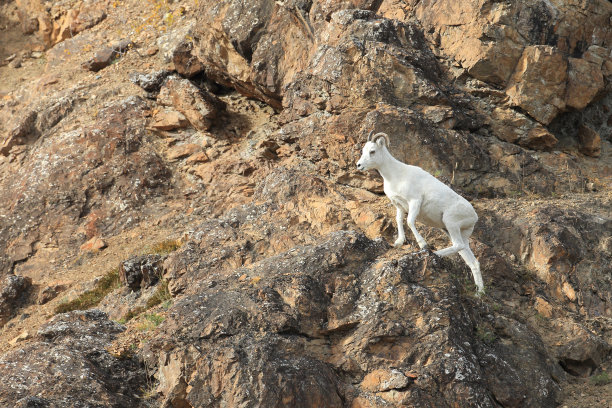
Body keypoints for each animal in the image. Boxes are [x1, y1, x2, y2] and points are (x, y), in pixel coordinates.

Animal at [356, 132, 486, 294]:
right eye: (363, 150)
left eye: (372, 151)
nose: (359, 165)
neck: (396, 175)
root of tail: (474, 216)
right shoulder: (399, 205)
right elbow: (399, 220)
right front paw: (399, 242)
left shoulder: (415, 202)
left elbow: (409, 221)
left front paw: (422, 244)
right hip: (454, 232)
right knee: (472, 261)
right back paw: (480, 293)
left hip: (451, 223)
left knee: (458, 246)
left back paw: (435, 253)